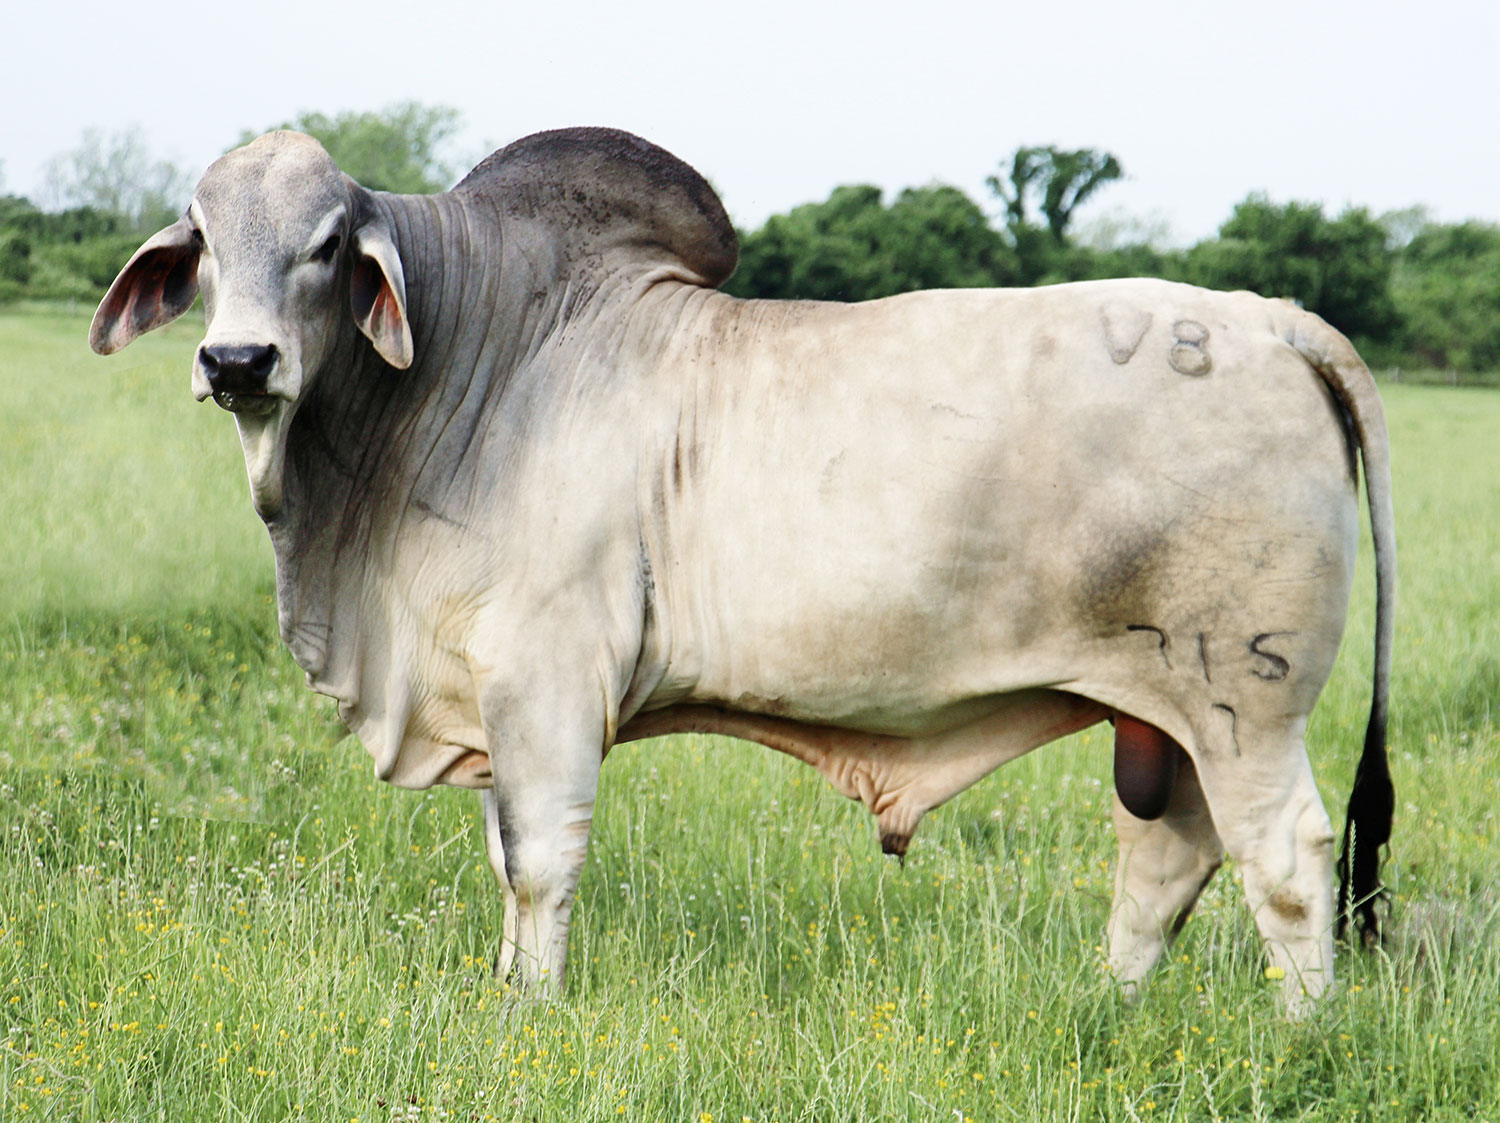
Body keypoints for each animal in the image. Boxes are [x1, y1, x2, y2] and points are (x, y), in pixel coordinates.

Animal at [90, 126, 1392, 1013]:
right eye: (204, 241)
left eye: (323, 246)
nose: (238, 360)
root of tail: (1271, 317)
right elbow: (504, 856)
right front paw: (510, 990)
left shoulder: (548, 678)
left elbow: (541, 860)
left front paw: (534, 1008)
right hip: (1164, 710)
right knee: (1170, 858)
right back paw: (1108, 1007)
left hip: (1244, 699)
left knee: (1286, 861)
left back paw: (1300, 1031)